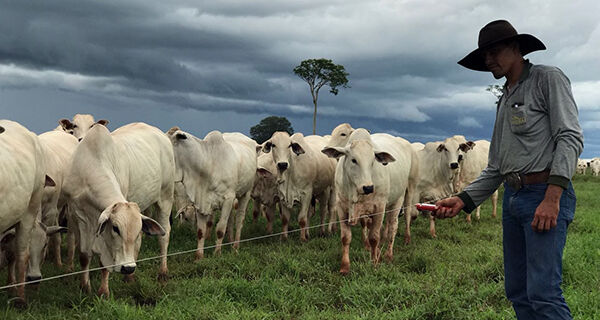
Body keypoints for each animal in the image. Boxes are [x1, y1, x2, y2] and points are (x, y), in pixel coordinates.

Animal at [62, 122, 172, 298]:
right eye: (115, 228)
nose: (128, 267)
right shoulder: (75, 216)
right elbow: (84, 255)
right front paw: (84, 287)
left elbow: (105, 262)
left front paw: (103, 292)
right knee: (139, 242)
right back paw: (130, 277)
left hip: (166, 197)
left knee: (165, 235)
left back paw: (162, 272)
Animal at [168, 127, 256, 260]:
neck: (209, 164)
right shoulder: (200, 201)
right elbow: (201, 231)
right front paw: (199, 256)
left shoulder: (228, 198)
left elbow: (220, 229)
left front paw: (217, 253)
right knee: (230, 220)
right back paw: (230, 241)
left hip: (246, 193)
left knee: (239, 219)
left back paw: (235, 246)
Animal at [324, 129, 418, 274]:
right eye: (354, 160)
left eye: (373, 161)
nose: (368, 187)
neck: (355, 189)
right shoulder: (342, 208)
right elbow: (346, 238)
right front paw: (345, 267)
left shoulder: (379, 207)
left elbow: (374, 237)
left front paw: (374, 263)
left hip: (403, 195)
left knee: (395, 225)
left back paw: (390, 253)